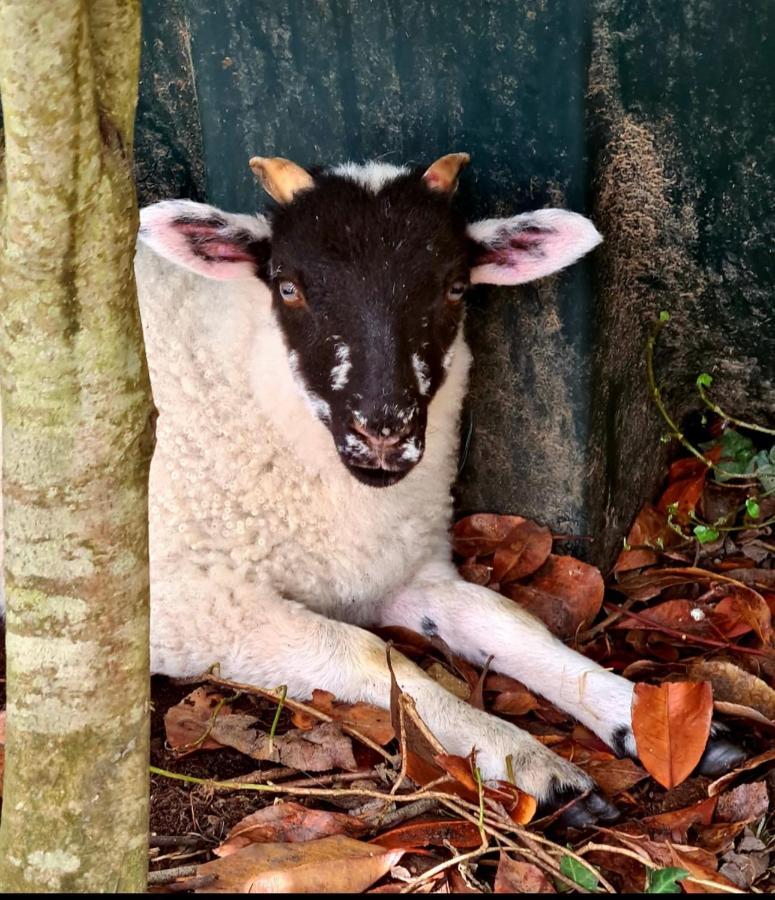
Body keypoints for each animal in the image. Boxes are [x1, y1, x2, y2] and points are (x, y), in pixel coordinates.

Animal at [138, 153, 740, 824]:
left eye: (455, 288)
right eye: (287, 287)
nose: (383, 431)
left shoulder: (401, 572)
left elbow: (504, 618)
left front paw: (641, 711)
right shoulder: (194, 606)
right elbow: (371, 654)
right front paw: (532, 765)